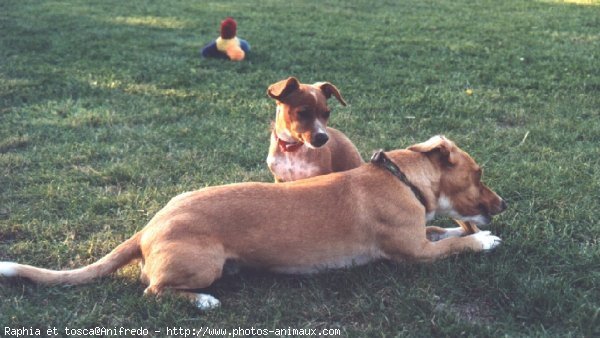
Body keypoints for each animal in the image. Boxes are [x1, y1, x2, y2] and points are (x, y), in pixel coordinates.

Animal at [0, 136, 506, 310]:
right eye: (479, 174)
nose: (502, 206)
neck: (402, 178)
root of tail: (148, 226)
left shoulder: (422, 232)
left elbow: (444, 229)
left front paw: (472, 229)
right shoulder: (415, 254)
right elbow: (452, 244)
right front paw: (484, 240)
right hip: (202, 264)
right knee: (153, 291)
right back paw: (202, 302)